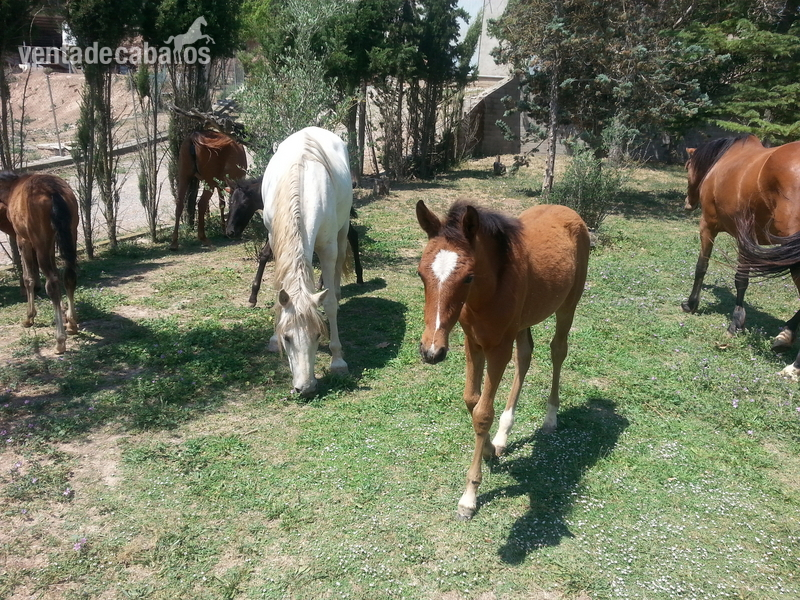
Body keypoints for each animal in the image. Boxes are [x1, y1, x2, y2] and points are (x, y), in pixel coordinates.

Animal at [0, 172, 79, 354]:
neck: (11, 188)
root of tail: (52, 191)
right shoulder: (51, 243)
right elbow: (56, 272)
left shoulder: (23, 240)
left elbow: (28, 278)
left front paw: (29, 317)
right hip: (71, 234)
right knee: (69, 276)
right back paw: (71, 324)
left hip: (40, 242)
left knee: (52, 284)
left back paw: (60, 341)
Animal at [225, 176, 364, 307]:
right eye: (230, 203)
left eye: (244, 204)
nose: (230, 231)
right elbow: (265, 254)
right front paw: (253, 297)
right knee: (350, 237)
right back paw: (322, 283)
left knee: (349, 239)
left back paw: (358, 277)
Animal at [261, 127, 352, 397]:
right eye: (287, 338)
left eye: (317, 336)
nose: (306, 387)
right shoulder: (276, 241)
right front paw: (273, 338)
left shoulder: (328, 247)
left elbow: (329, 303)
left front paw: (337, 361)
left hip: (343, 230)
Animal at [416, 200, 590, 520]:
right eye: (420, 274)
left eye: (468, 276)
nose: (431, 351)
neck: (487, 292)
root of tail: (566, 209)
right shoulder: (473, 343)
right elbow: (471, 400)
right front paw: (487, 450)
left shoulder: (498, 348)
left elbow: (483, 412)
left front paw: (469, 496)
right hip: (522, 323)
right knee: (526, 355)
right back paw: (502, 436)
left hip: (568, 305)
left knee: (558, 350)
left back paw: (550, 417)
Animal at [682, 134, 800, 348]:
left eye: (688, 166)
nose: (687, 203)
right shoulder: (747, 240)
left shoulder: (708, 226)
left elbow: (703, 267)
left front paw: (693, 304)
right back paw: (785, 335)